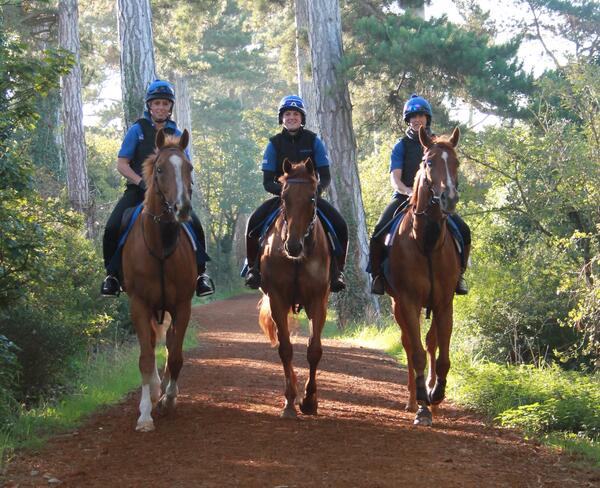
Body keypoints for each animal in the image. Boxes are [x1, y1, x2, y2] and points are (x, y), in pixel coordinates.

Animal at [120, 129, 196, 430]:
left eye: (189, 168)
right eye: (160, 169)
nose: (182, 209)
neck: (160, 246)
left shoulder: (182, 305)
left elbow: (175, 356)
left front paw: (169, 399)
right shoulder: (139, 304)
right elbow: (144, 357)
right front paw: (144, 415)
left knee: (169, 344)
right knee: (151, 345)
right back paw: (153, 389)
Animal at [258, 158, 332, 418]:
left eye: (312, 198)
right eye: (283, 197)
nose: (292, 245)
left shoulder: (317, 301)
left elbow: (314, 350)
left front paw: (310, 401)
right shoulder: (277, 300)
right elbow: (286, 349)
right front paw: (290, 401)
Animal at [384, 126, 464, 428]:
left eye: (456, 163)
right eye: (429, 162)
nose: (449, 198)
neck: (426, 242)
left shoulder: (444, 303)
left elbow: (441, 356)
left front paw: (436, 394)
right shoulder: (407, 302)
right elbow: (416, 353)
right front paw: (422, 406)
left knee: (430, 342)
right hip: (397, 306)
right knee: (409, 344)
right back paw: (413, 399)